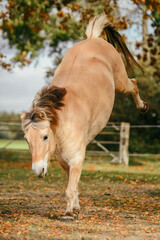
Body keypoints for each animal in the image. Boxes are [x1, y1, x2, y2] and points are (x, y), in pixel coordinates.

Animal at [20, 13, 149, 221]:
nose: (38, 171)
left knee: (134, 84)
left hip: (121, 81)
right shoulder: (65, 161)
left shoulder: (76, 158)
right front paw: (75, 209)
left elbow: (70, 189)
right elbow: (73, 186)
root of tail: (93, 38)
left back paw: (143, 107)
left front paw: (69, 214)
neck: (64, 120)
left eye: (45, 137)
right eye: (26, 140)